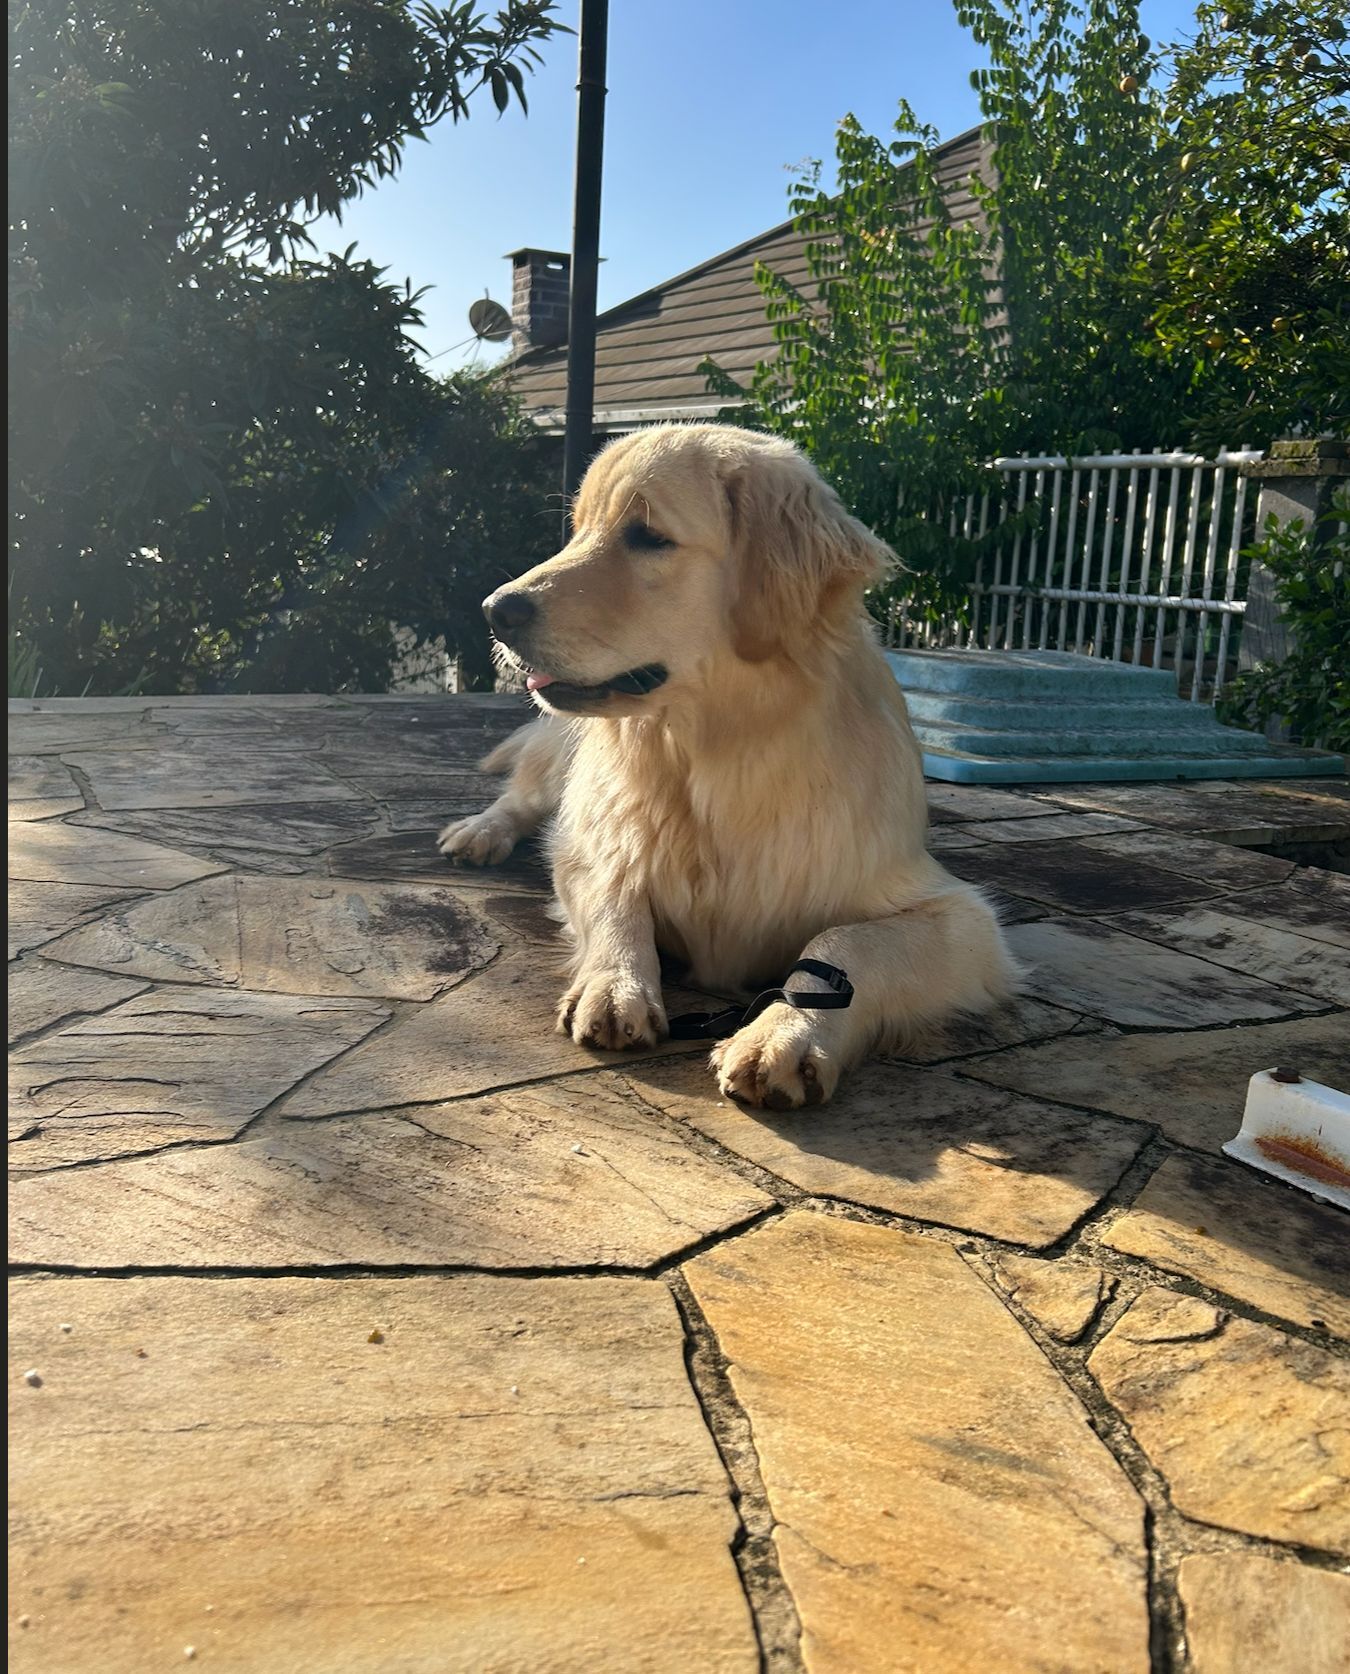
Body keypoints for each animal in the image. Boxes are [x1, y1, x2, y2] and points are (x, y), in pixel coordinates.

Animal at [438, 424, 1016, 1110]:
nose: (493, 610)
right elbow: (616, 894)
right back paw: (478, 833)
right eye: (578, 530)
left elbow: (846, 942)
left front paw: (785, 1033)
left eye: (648, 535)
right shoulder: (588, 842)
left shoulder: (961, 918)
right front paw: (616, 984)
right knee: (520, 797)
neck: (712, 754)